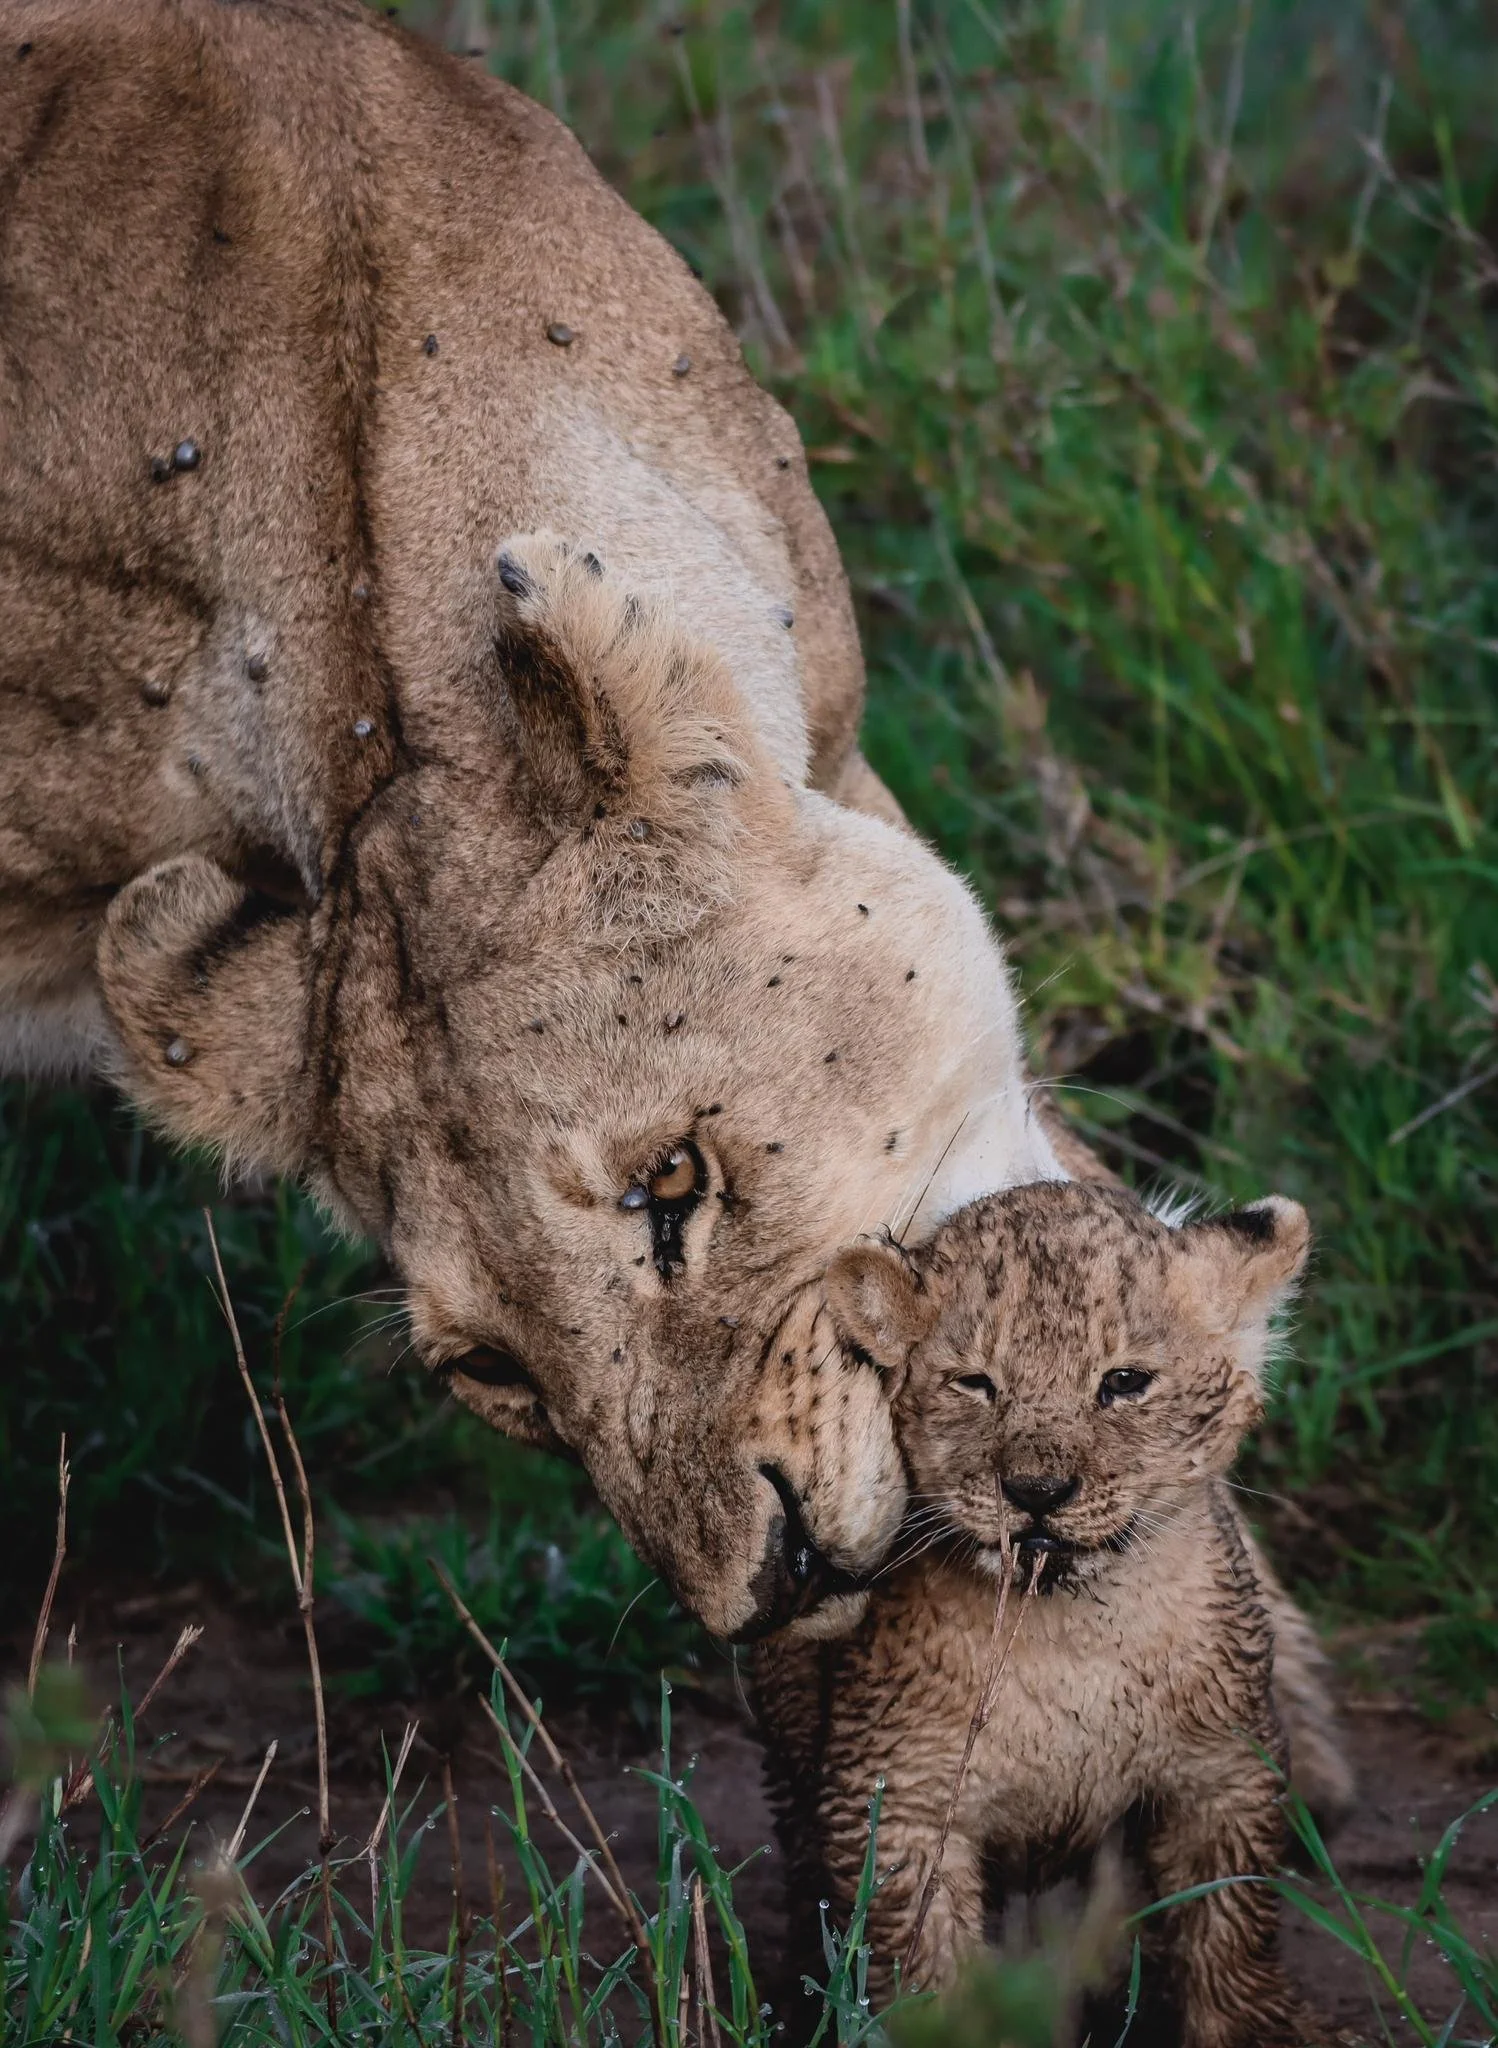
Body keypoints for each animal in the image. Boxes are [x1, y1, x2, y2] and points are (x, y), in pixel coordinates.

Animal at [754, 1182, 1342, 2044]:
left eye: (1125, 1381)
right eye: (974, 1383)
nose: (1036, 1492)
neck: (1070, 1631)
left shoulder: (1225, 1770)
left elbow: (1230, 1928)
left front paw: (1258, 2028)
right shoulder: (897, 1799)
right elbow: (924, 1963)